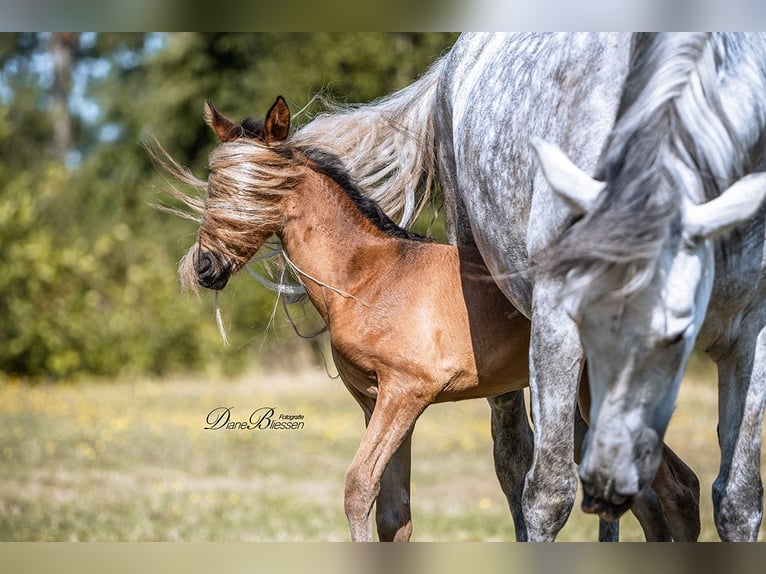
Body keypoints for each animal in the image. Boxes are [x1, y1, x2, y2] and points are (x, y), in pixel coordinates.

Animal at [298, 33, 720, 544]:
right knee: (662, 492)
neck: (367, 275)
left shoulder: (404, 393)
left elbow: (365, 487)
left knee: (669, 490)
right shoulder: (377, 398)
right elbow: (391, 507)